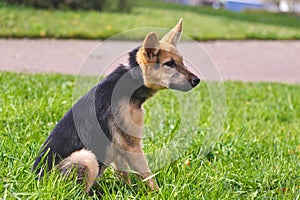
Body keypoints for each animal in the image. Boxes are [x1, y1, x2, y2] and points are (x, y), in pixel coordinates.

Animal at [32, 18, 199, 192]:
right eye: (170, 64)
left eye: (182, 62)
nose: (197, 80)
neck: (132, 78)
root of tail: (38, 182)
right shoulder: (132, 145)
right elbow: (147, 175)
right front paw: (157, 193)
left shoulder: (119, 146)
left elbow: (124, 173)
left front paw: (128, 191)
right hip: (87, 158)